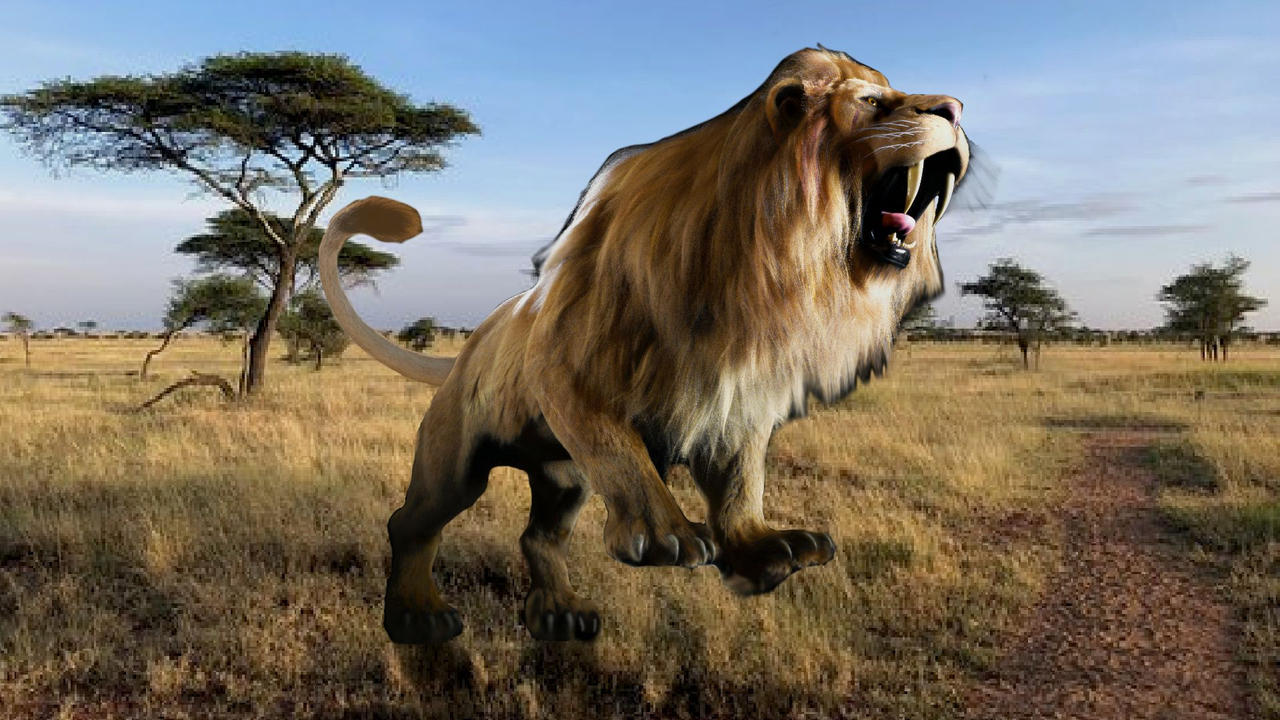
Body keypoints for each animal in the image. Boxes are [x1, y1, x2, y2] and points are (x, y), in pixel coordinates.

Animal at [318, 46, 970, 643]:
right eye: (873, 103)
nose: (955, 108)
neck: (766, 256)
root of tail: (468, 351)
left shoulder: (737, 396)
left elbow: (741, 481)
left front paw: (763, 548)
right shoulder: (569, 373)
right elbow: (626, 460)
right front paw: (668, 539)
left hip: (561, 476)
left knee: (539, 536)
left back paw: (560, 615)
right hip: (456, 458)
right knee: (413, 522)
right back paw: (417, 615)